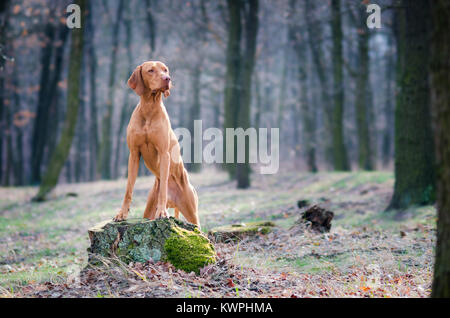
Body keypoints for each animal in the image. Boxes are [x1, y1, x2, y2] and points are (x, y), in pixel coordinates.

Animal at [114, 60, 200, 229]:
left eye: (165, 70)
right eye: (151, 70)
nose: (167, 79)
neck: (149, 108)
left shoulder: (164, 153)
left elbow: (163, 188)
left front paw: (162, 212)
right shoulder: (134, 154)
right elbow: (128, 189)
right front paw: (122, 214)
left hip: (193, 214)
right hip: (148, 210)